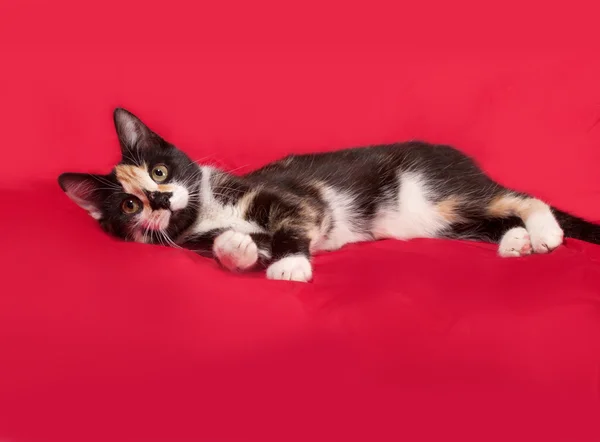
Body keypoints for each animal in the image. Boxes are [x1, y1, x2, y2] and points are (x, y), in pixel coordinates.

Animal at [58, 107, 600, 282]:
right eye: (130, 204)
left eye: (160, 171)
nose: (162, 200)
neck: (207, 209)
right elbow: (237, 245)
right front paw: (236, 248)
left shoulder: (297, 197)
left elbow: (293, 221)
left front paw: (291, 263)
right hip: (442, 220)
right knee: (486, 220)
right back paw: (516, 241)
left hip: (443, 191)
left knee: (519, 197)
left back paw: (543, 231)